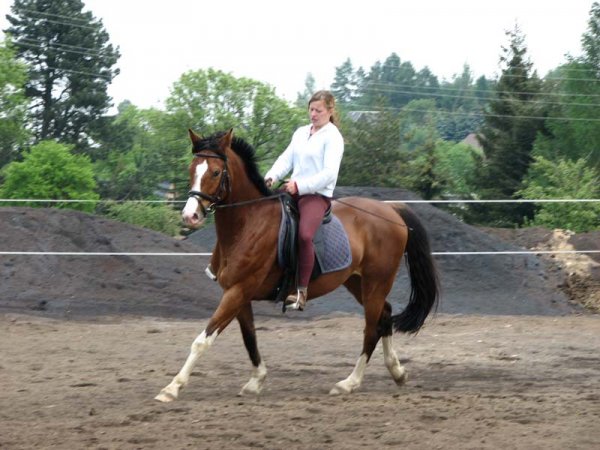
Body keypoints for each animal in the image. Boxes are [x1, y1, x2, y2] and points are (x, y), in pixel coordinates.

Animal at [155, 129, 439, 402]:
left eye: (215, 172)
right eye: (192, 169)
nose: (190, 216)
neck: (248, 222)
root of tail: (391, 210)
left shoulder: (238, 291)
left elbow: (202, 340)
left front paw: (172, 388)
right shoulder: (238, 294)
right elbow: (250, 338)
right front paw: (256, 381)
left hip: (376, 283)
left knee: (371, 329)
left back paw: (349, 383)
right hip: (357, 282)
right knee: (385, 315)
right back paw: (397, 371)